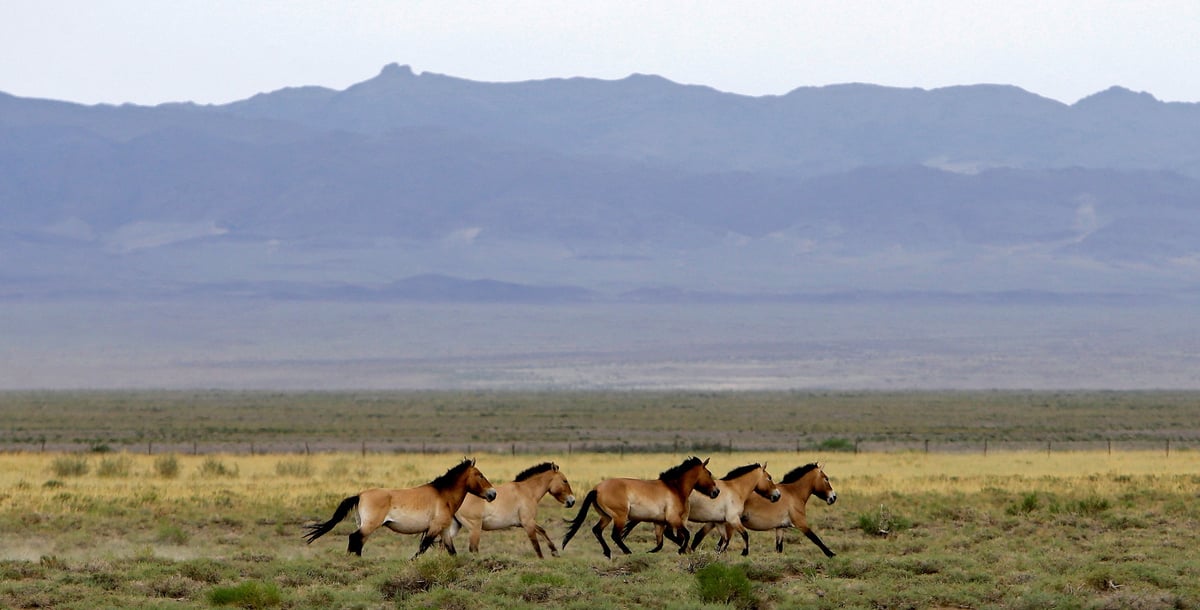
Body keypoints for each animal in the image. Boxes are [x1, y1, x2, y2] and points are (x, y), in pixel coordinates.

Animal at [303, 458, 496, 558]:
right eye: (480, 475)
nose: (493, 494)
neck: (443, 495)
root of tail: (360, 495)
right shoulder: (434, 528)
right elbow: (422, 548)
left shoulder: (444, 530)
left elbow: (451, 551)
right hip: (369, 526)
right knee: (354, 538)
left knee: (358, 542)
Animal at [446, 462, 576, 558]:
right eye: (565, 480)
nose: (572, 501)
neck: (527, 491)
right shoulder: (527, 523)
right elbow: (536, 545)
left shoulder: (524, 523)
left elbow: (542, 531)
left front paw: (555, 552)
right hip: (475, 528)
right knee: (473, 549)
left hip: (455, 527)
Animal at [561, 456, 719, 558]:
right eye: (709, 473)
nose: (716, 492)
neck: (675, 488)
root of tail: (596, 489)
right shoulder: (673, 519)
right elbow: (685, 534)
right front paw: (683, 550)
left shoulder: (660, 522)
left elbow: (662, 541)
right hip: (620, 517)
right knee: (615, 535)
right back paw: (627, 552)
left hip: (606, 516)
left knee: (597, 530)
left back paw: (608, 553)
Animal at [623, 462, 782, 556]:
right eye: (769, 477)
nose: (777, 495)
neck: (735, 489)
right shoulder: (732, 519)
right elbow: (744, 535)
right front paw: (744, 552)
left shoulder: (717, 521)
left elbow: (719, 538)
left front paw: (718, 552)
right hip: (679, 517)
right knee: (673, 534)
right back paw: (683, 549)